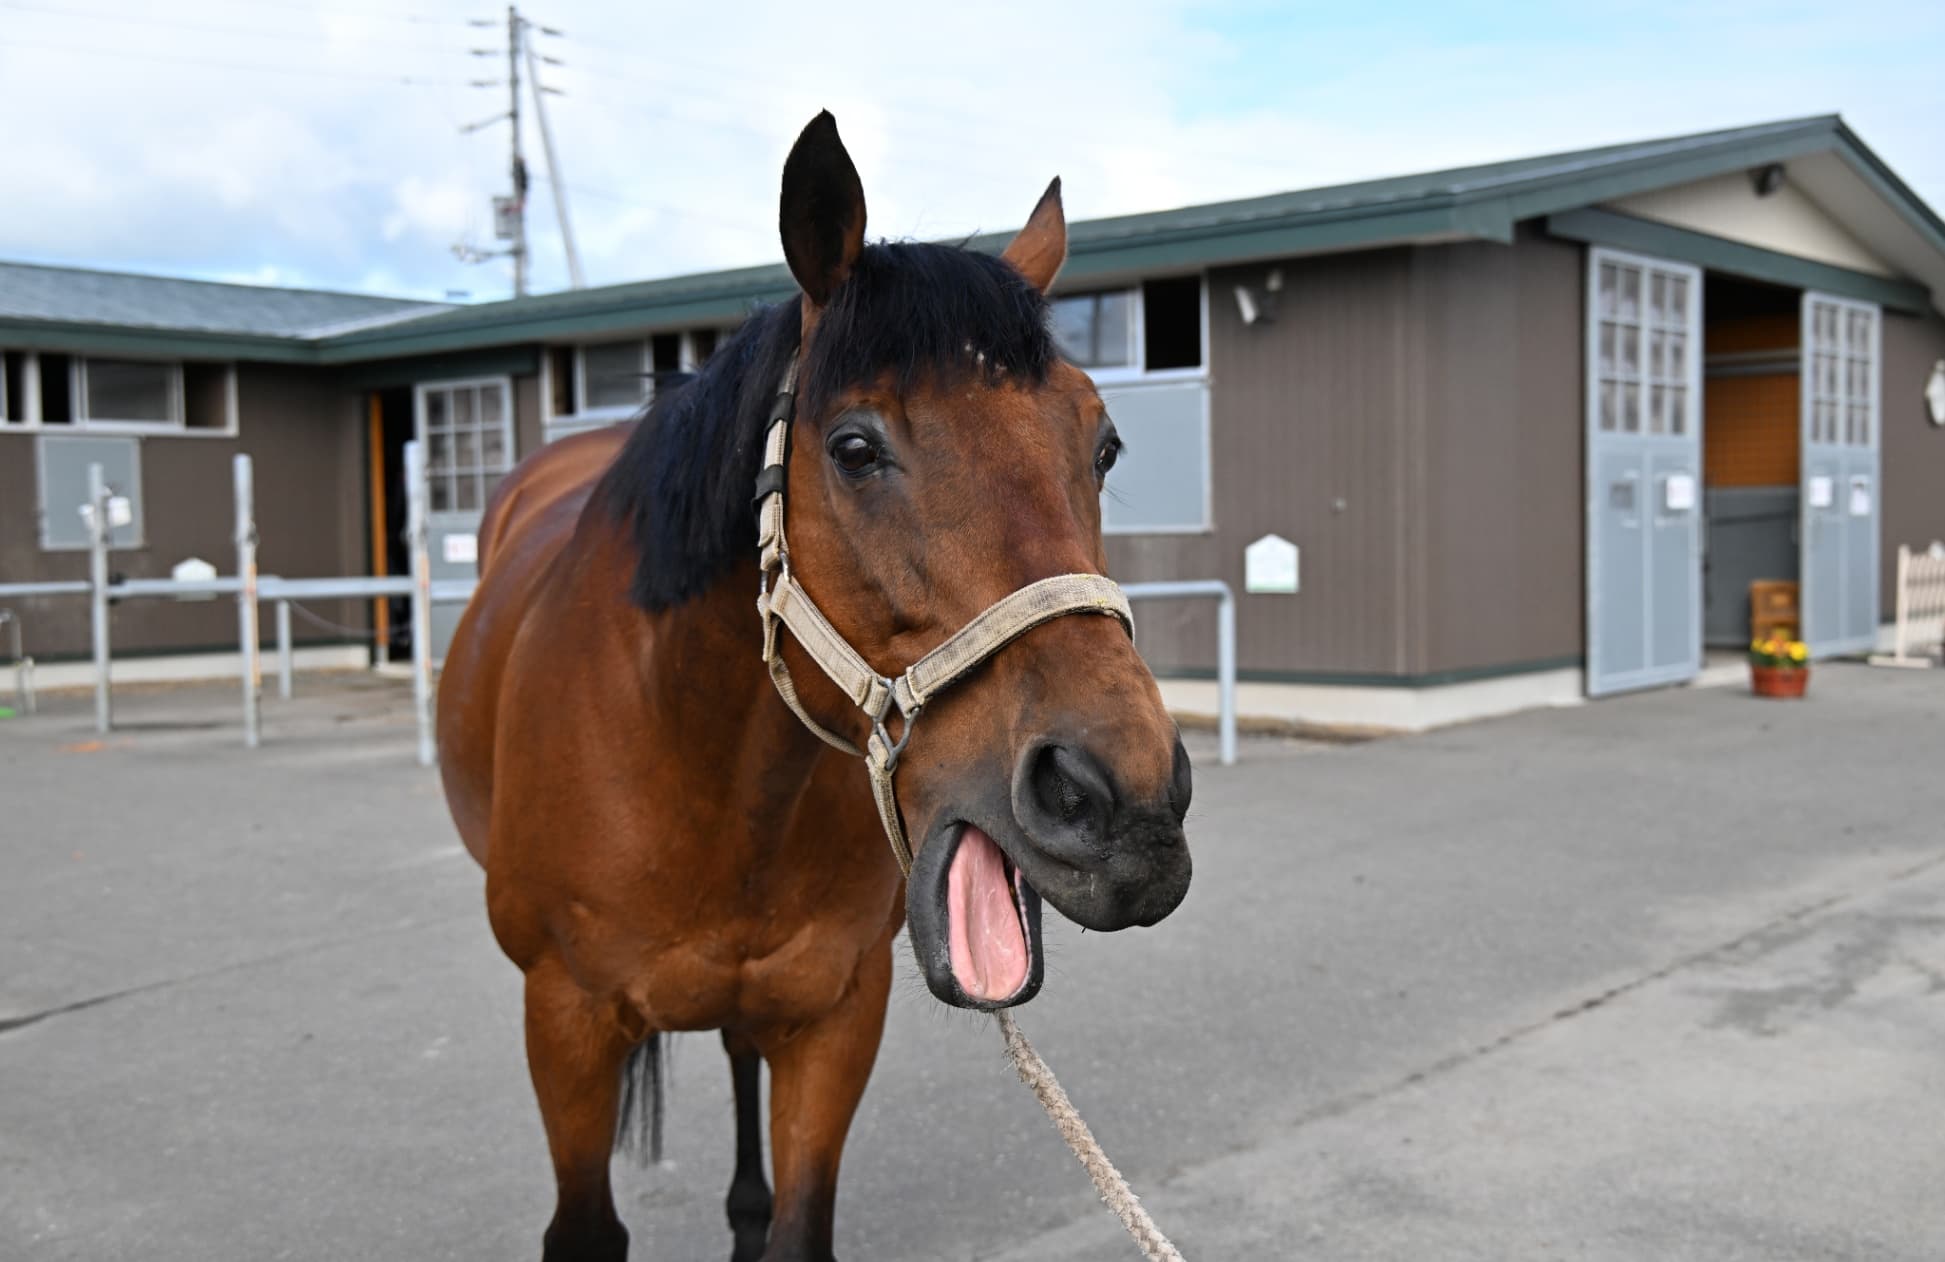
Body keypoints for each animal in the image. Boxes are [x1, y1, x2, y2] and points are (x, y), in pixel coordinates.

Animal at [436, 111, 1195, 1262]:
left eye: (1102, 445)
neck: (694, 758)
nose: (1121, 803)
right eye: (854, 447)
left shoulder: (834, 1014)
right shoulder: (563, 1020)